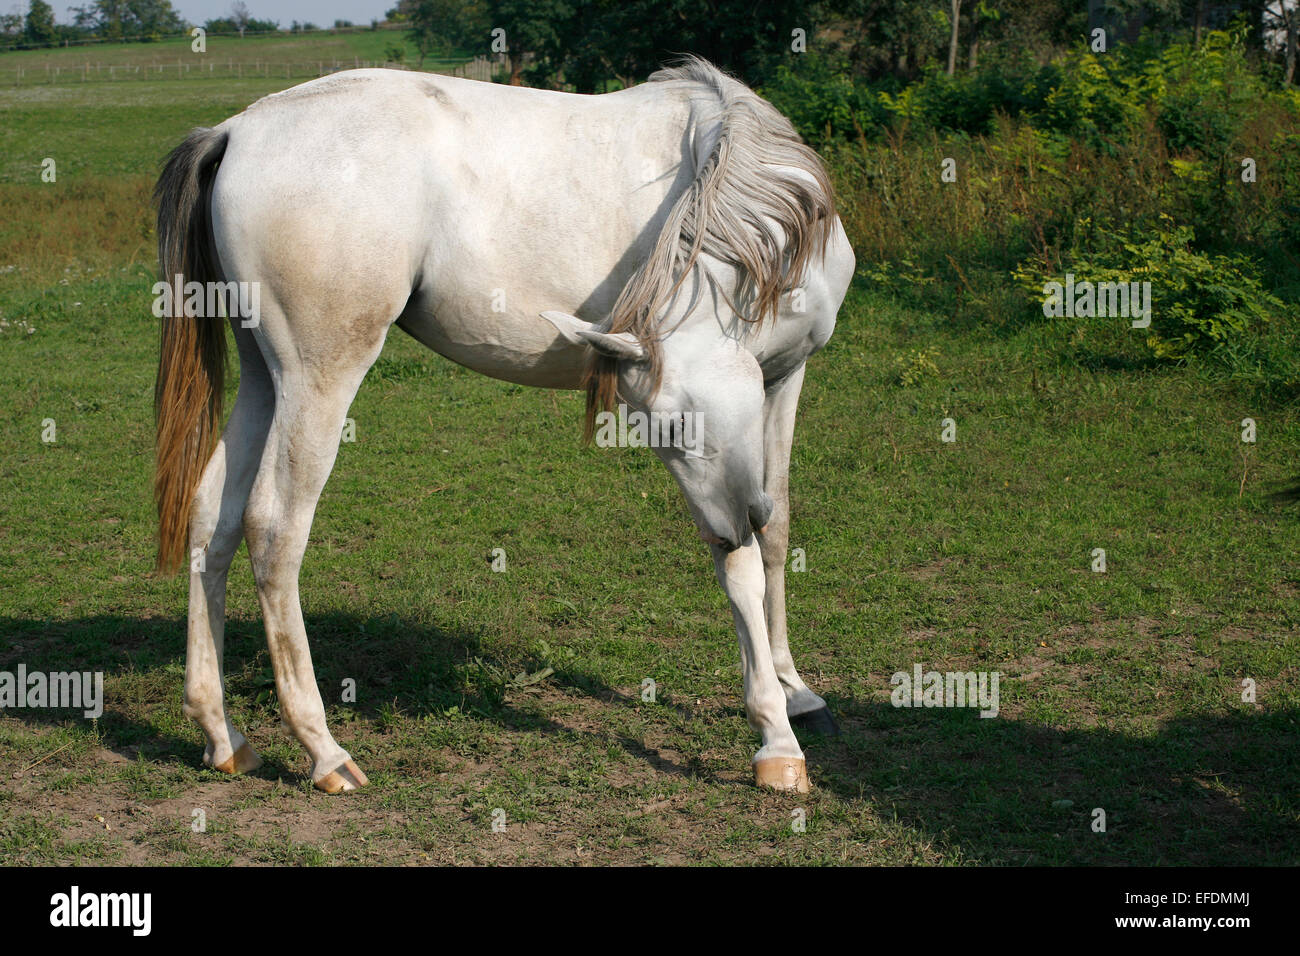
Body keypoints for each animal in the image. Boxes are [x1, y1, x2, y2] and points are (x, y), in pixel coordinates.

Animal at [154, 55, 852, 796]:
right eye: (662, 433)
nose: (729, 523)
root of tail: (238, 130)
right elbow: (744, 566)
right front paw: (775, 737)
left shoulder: (781, 381)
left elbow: (776, 534)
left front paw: (796, 692)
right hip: (316, 379)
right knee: (274, 529)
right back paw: (324, 750)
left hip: (266, 378)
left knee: (213, 518)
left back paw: (222, 735)